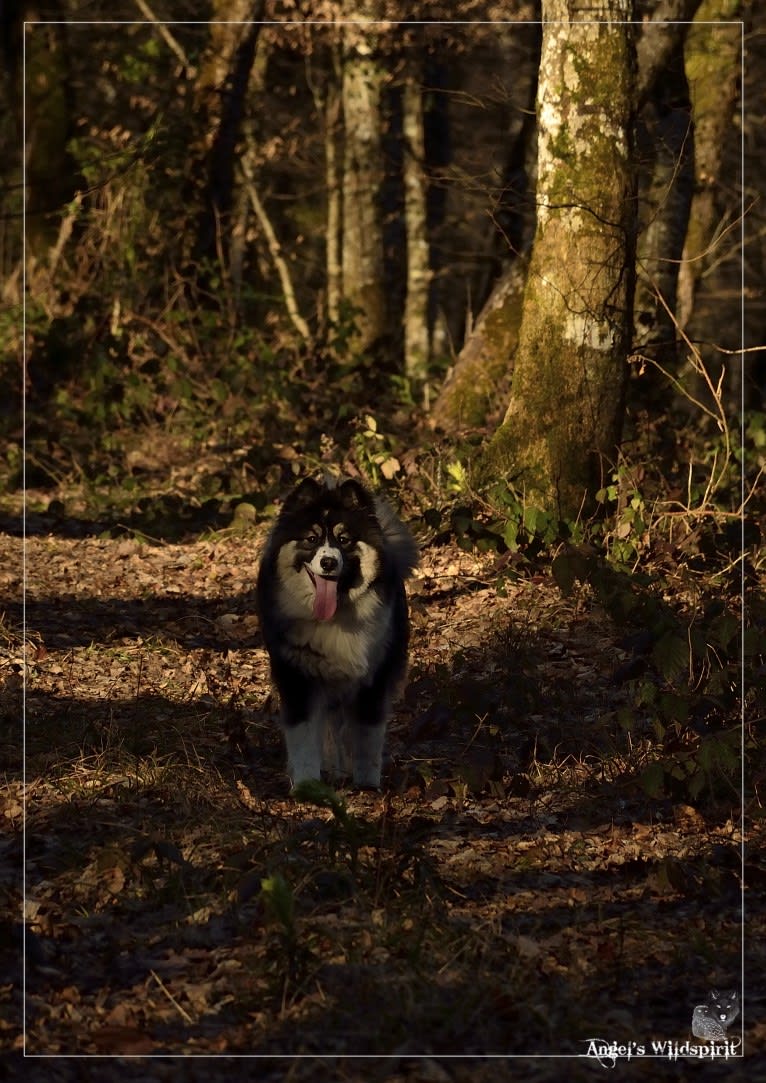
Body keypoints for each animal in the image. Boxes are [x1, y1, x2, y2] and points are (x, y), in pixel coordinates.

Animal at [255, 474, 420, 788]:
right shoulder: (299, 680)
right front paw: (307, 786)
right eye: (311, 539)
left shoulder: (373, 679)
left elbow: (367, 739)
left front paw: (367, 785)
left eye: (344, 540)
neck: (334, 619)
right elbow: (305, 740)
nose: (328, 562)